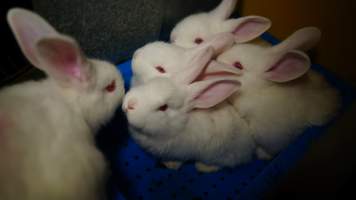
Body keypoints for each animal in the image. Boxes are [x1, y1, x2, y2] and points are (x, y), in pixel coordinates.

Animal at [123, 45, 256, 172]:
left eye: (163, 107)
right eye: (151, 84)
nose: (129, 105)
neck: (179, 125)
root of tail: (249, 149)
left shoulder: (180, 153)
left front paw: (171, 165)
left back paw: (203, 167)